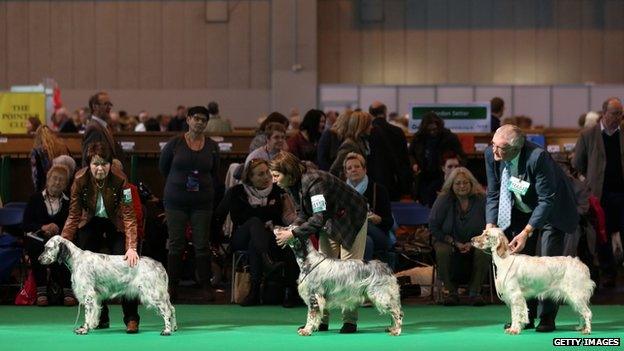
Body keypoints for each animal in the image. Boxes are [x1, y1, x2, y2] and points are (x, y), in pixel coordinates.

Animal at [39, 235, 177, 336]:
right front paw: (91, 326)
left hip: (152, 294)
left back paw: (167, 330)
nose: (39, 259)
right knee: (172, 308)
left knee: (167, 311)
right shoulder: (96, 296)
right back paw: (174, 327)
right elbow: (95, 313)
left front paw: (84, 329)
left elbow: (87, 314)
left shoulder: (88, 294)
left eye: (48, 248)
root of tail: (159, 264)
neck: (76, 259)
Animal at [274, 227, 402, 336]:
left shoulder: (313, 296)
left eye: (287, 228)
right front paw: (314, 328)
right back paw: (392, 328)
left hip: (380, 295)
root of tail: (386, 267)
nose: (275, 226)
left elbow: (311, 316)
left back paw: (396, 330)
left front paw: (306, 330)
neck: (309, 260)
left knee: (397, 312)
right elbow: (317, 316)